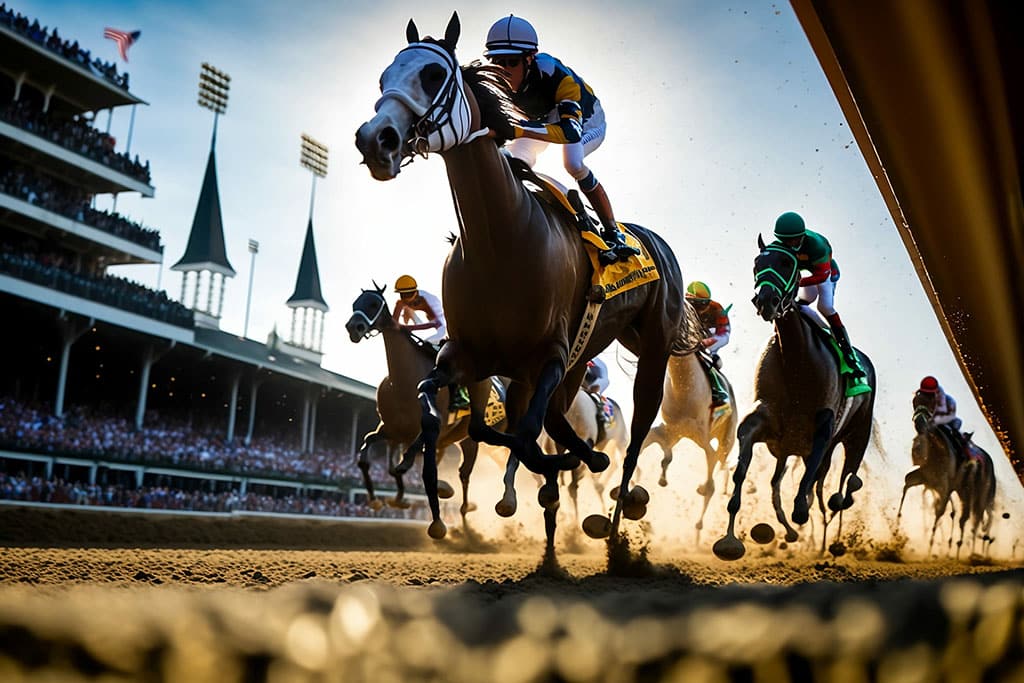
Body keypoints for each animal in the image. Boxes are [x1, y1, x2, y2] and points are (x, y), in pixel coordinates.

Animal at [344, 282, 507, 524]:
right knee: (463, 471)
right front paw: (379, 500)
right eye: (356, 303)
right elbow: (368, 455)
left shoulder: (426, 431)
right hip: (466, 440)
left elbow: (403, 465)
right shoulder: (391, 430)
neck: (404, 381)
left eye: (374, 303)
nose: (353, 327)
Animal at [712, 236, 880, 561]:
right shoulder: (764, 420)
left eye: (787, 262)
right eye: (757, 263)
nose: (765, 300)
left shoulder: (822, 425)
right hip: (788, 449)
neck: (796, 360)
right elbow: (742, 469)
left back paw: (834, 530)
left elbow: (812, 477)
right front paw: (729, 538)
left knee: (846, 478)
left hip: (856, 433)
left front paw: (801, 510)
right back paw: (796, 532)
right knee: (780, 482)